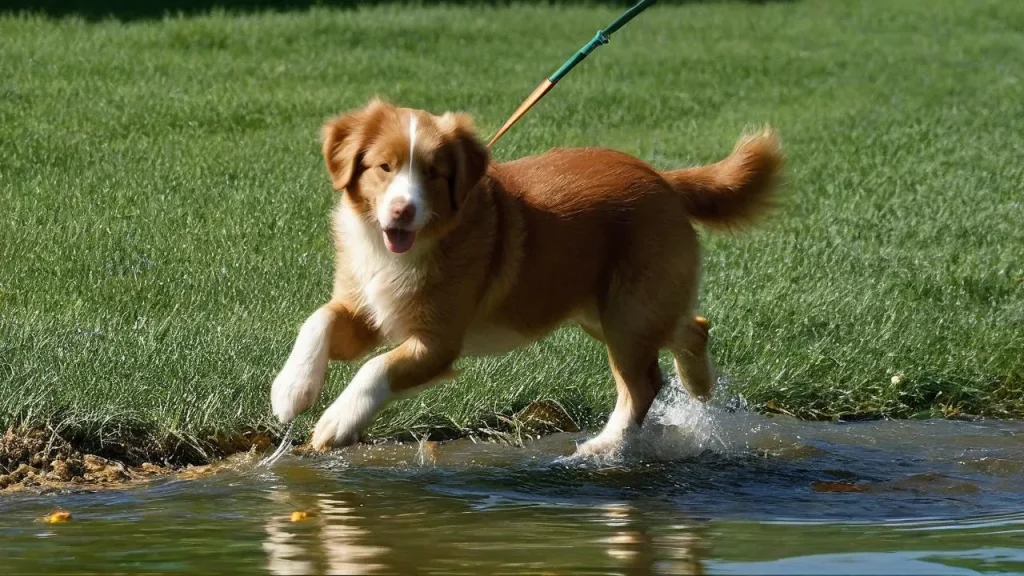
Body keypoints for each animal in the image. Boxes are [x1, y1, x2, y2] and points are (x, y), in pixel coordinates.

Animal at [268, 99, 778, 453]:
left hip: (629, 311)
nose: (402, 210)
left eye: (434, 173)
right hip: (609, 310)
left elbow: (376, 368)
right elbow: (318, 320)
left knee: (642, 383)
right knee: (693, 329)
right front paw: (291, 390)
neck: (405, 250)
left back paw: (605, 446)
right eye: (384, 167)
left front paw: (337, 421)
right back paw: (699, 387)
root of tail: (664, 179)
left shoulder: (436, 342)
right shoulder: (365, 311)